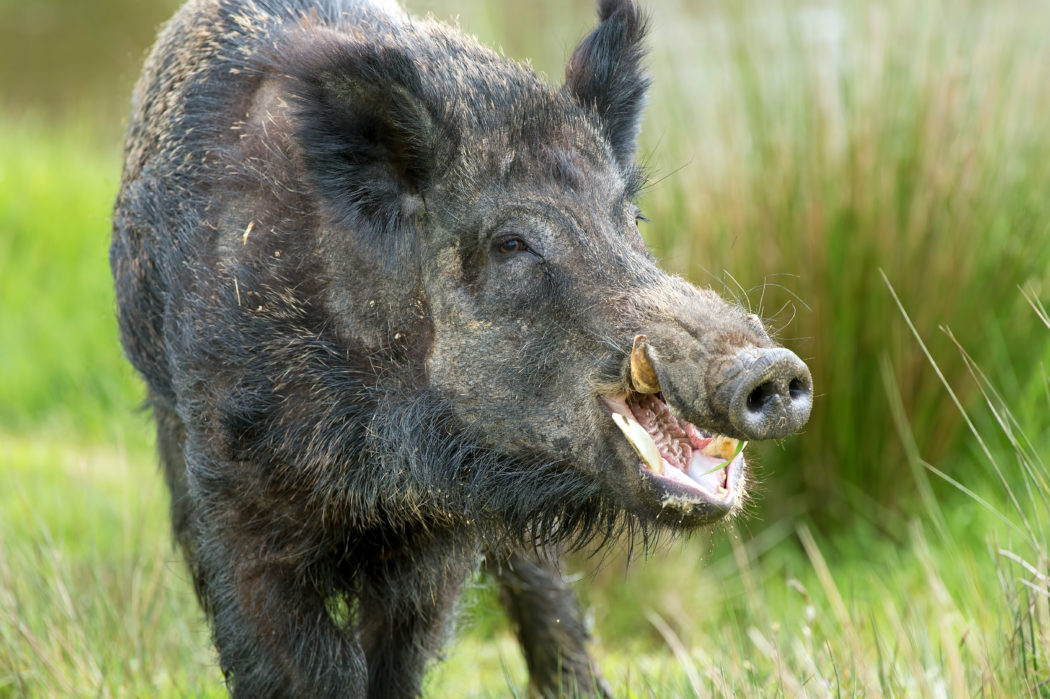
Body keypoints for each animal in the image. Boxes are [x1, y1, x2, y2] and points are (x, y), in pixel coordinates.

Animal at [110, 0, 812, 695]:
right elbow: (301, 663)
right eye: (510, 244)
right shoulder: (235, 498)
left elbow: (400, 652)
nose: (772, 368)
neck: (373, 467)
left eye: (630, 220)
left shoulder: (440, 534)